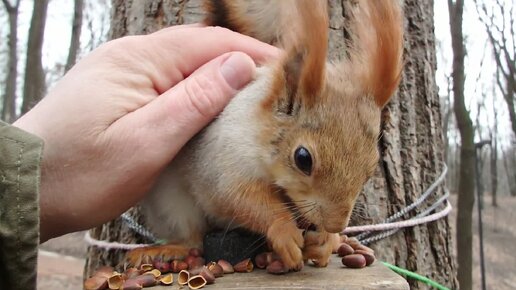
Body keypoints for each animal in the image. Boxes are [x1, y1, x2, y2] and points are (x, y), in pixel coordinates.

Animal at [128, 0, 404, 272]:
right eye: (303, 158)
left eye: (371, 167)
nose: (336, 224)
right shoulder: (221, 161)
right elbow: (240, 199)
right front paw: (284, 231)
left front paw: (327, 240)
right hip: (172, 205)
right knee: (191, 238)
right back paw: (164, 250)